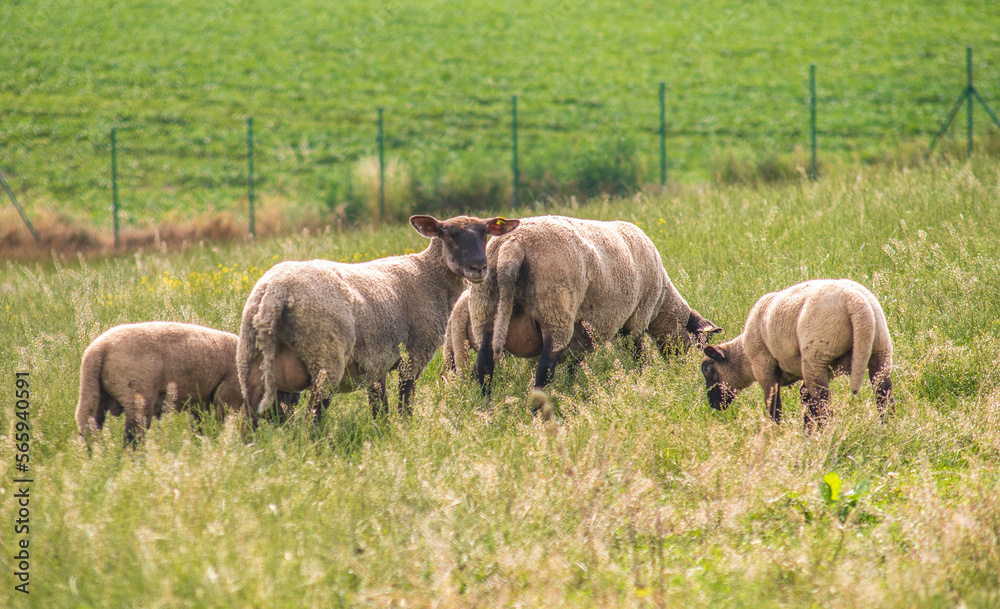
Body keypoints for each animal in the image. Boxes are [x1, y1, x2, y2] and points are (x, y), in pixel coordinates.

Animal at [75, 322, 287, 446]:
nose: (287, 424)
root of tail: (99, 349)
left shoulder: (200, 402)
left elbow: (200, 428)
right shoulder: (228, 395)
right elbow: (222, 423)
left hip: (92, 394)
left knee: (89, 432)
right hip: (138, 395)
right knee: (132, 437)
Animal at [237, 215, 520, 426]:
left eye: (484, 232)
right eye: (448, 234)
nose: (479, 267)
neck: (427, 274)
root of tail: (276, 292)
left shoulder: (376, 360)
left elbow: (379, 406)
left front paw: (383, 433)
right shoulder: (415, 353)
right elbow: (405, 399)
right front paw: (405, 430)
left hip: (250, 358)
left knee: (249, 417)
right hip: (325, 355)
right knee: (313, 415)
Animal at [469, 215, 702, 401]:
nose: (683, 369)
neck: (662, 299)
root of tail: (513, 244)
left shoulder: (582, 334)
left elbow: (575, 362)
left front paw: (574, 384)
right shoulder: (637, 317)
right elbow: (638, 353)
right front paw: (642, 377)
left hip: (484, 308)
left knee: (484, 365)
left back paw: (486, 408)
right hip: (555, 310)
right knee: (543, 371)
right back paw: (539, 415)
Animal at [700, 279, 894, 429]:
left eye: (709, 373)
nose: (712, 404)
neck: (743, 357)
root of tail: (854, 300)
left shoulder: (764, 370)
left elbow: (774, 407)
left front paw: (775, 433)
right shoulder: (828, 369)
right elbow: (805, 398)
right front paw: (806, 431)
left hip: (816, 357)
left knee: (823, 404)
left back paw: (824, 436)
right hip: (879, 349)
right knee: (883, 393)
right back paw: (887, 428)